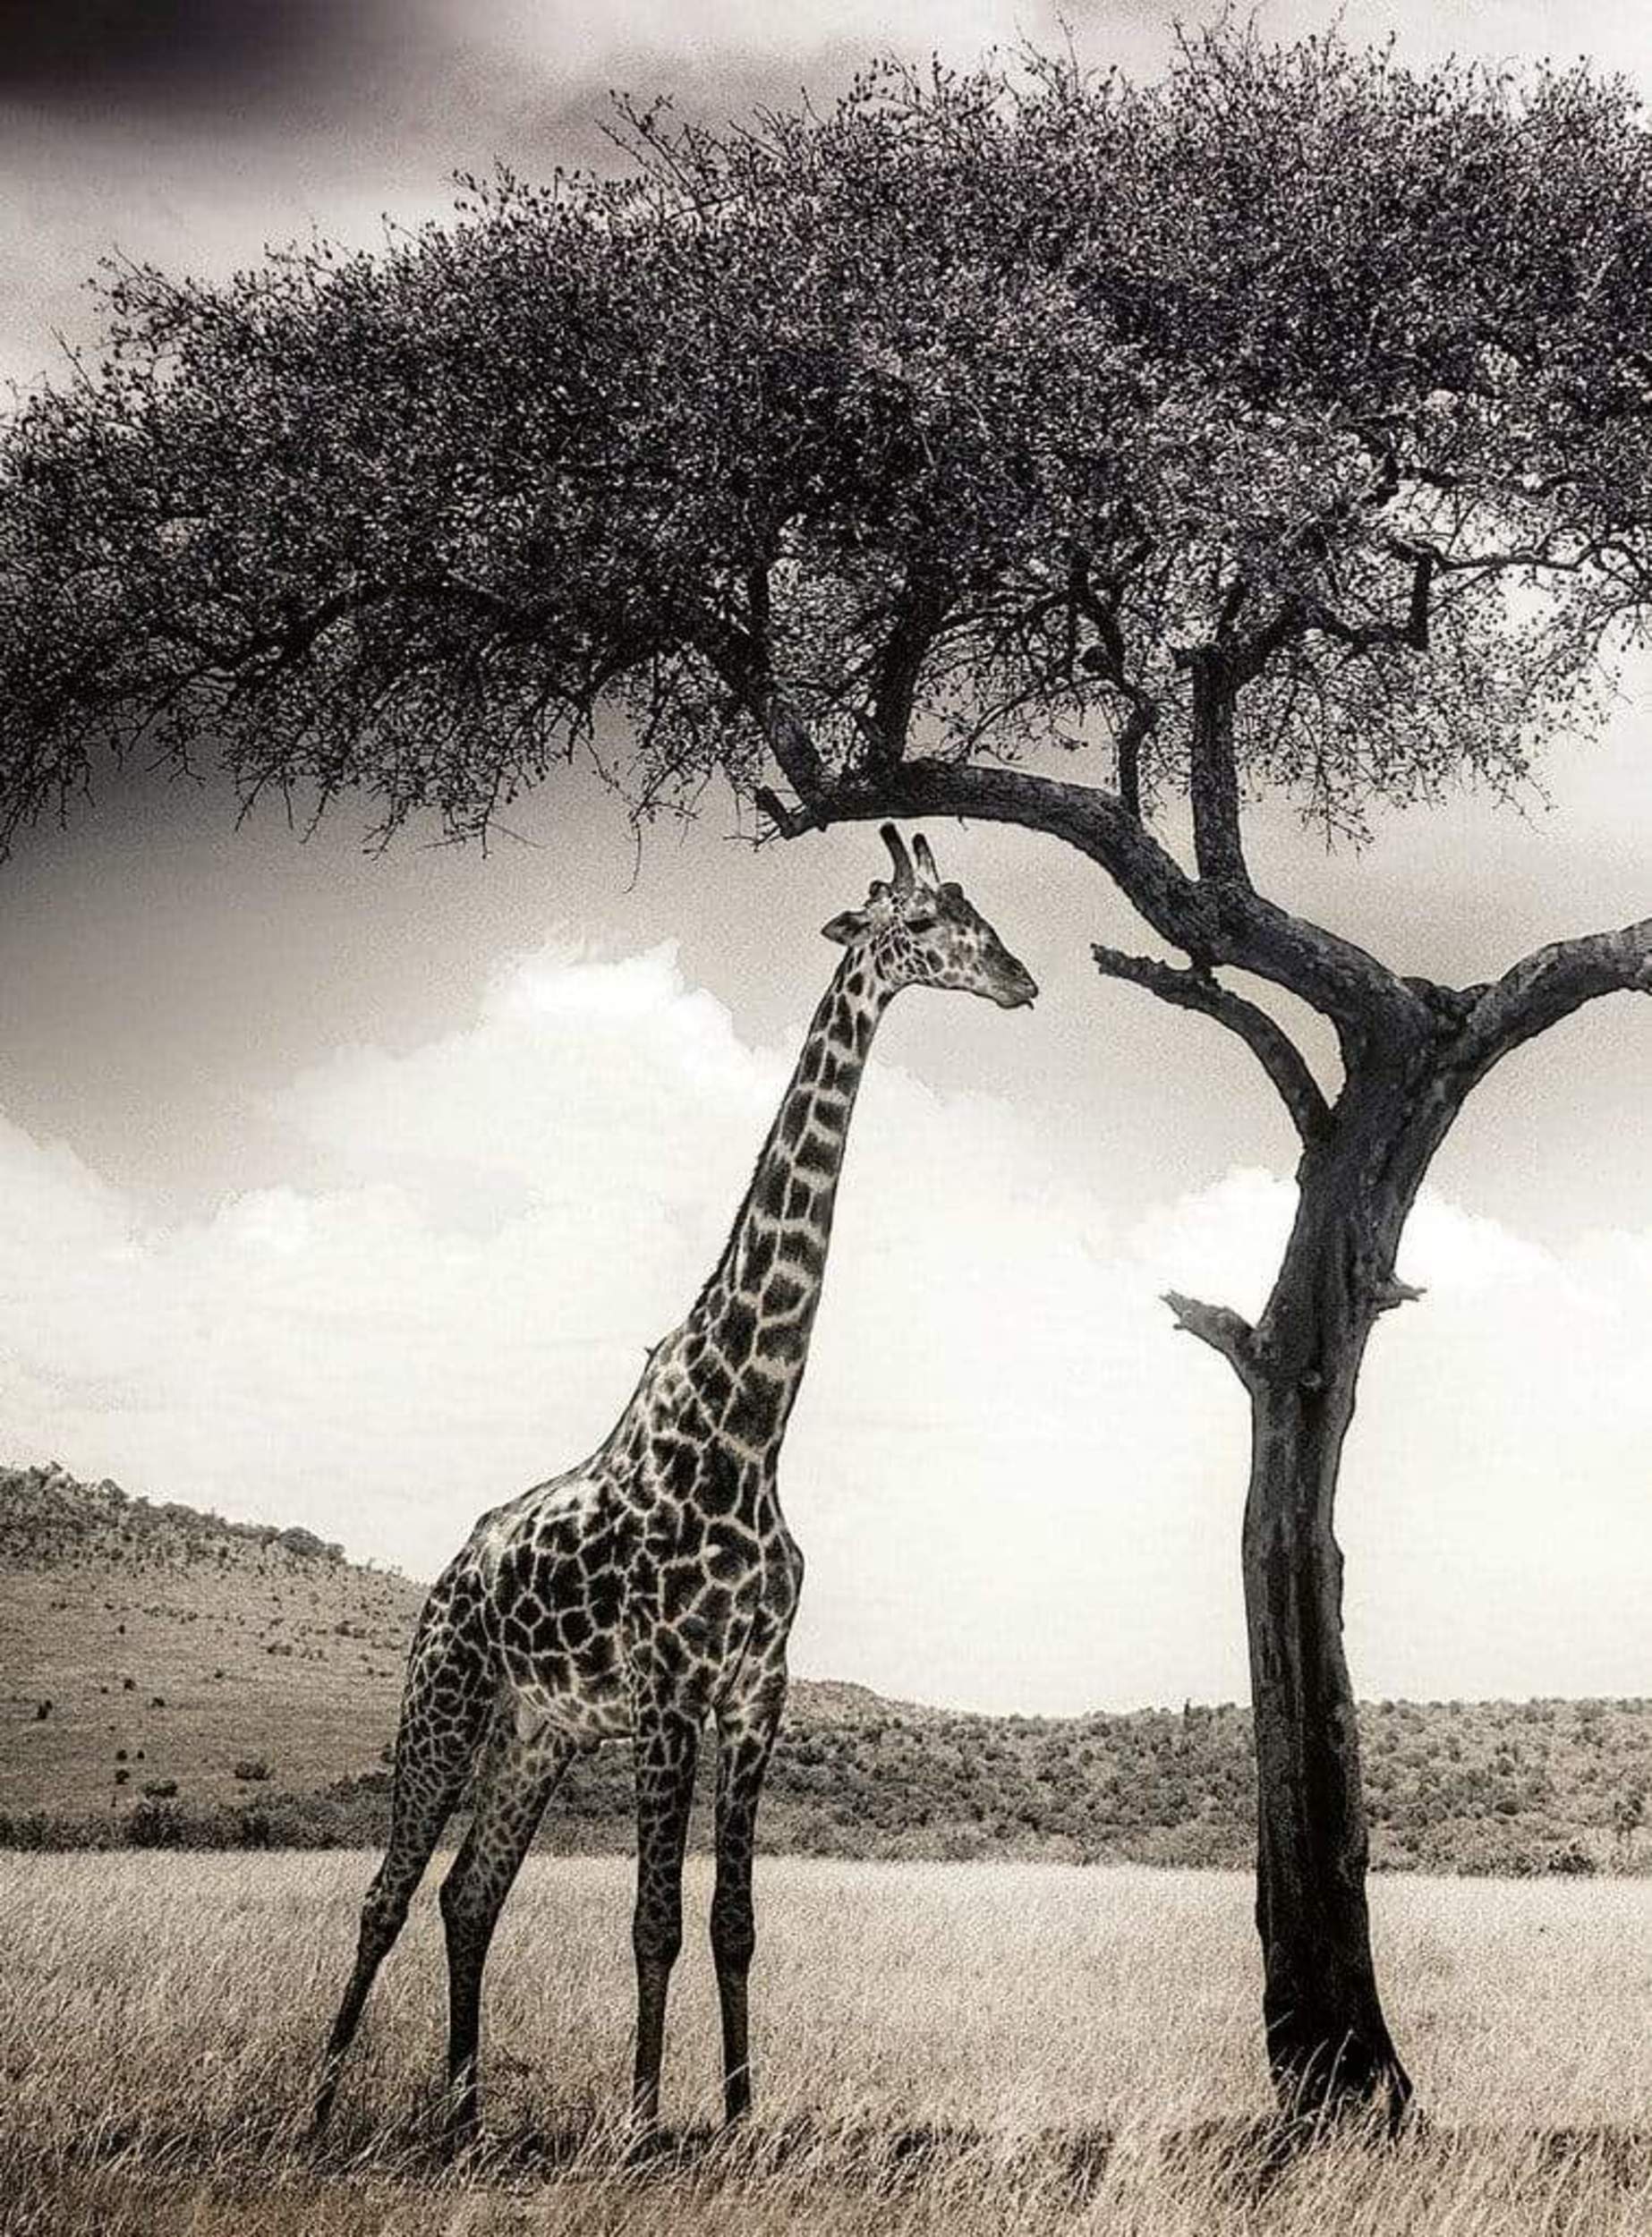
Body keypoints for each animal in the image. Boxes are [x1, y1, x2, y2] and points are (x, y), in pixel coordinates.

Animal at [311, 824, 1037, 2153]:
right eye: (921, 923)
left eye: (979, 911)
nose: (1019, 979)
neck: (748, 1430)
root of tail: (446, 1575)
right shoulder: (665, 1693)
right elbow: (650, 1920)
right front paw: (645, 2124)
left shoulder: (755, 1692)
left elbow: (732, 1924)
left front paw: (741, 2119)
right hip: (444, 1698)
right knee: (388, 1893)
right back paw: (322, 2099)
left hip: (535, 1730)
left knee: (467, 1896)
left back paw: (464, 2112)